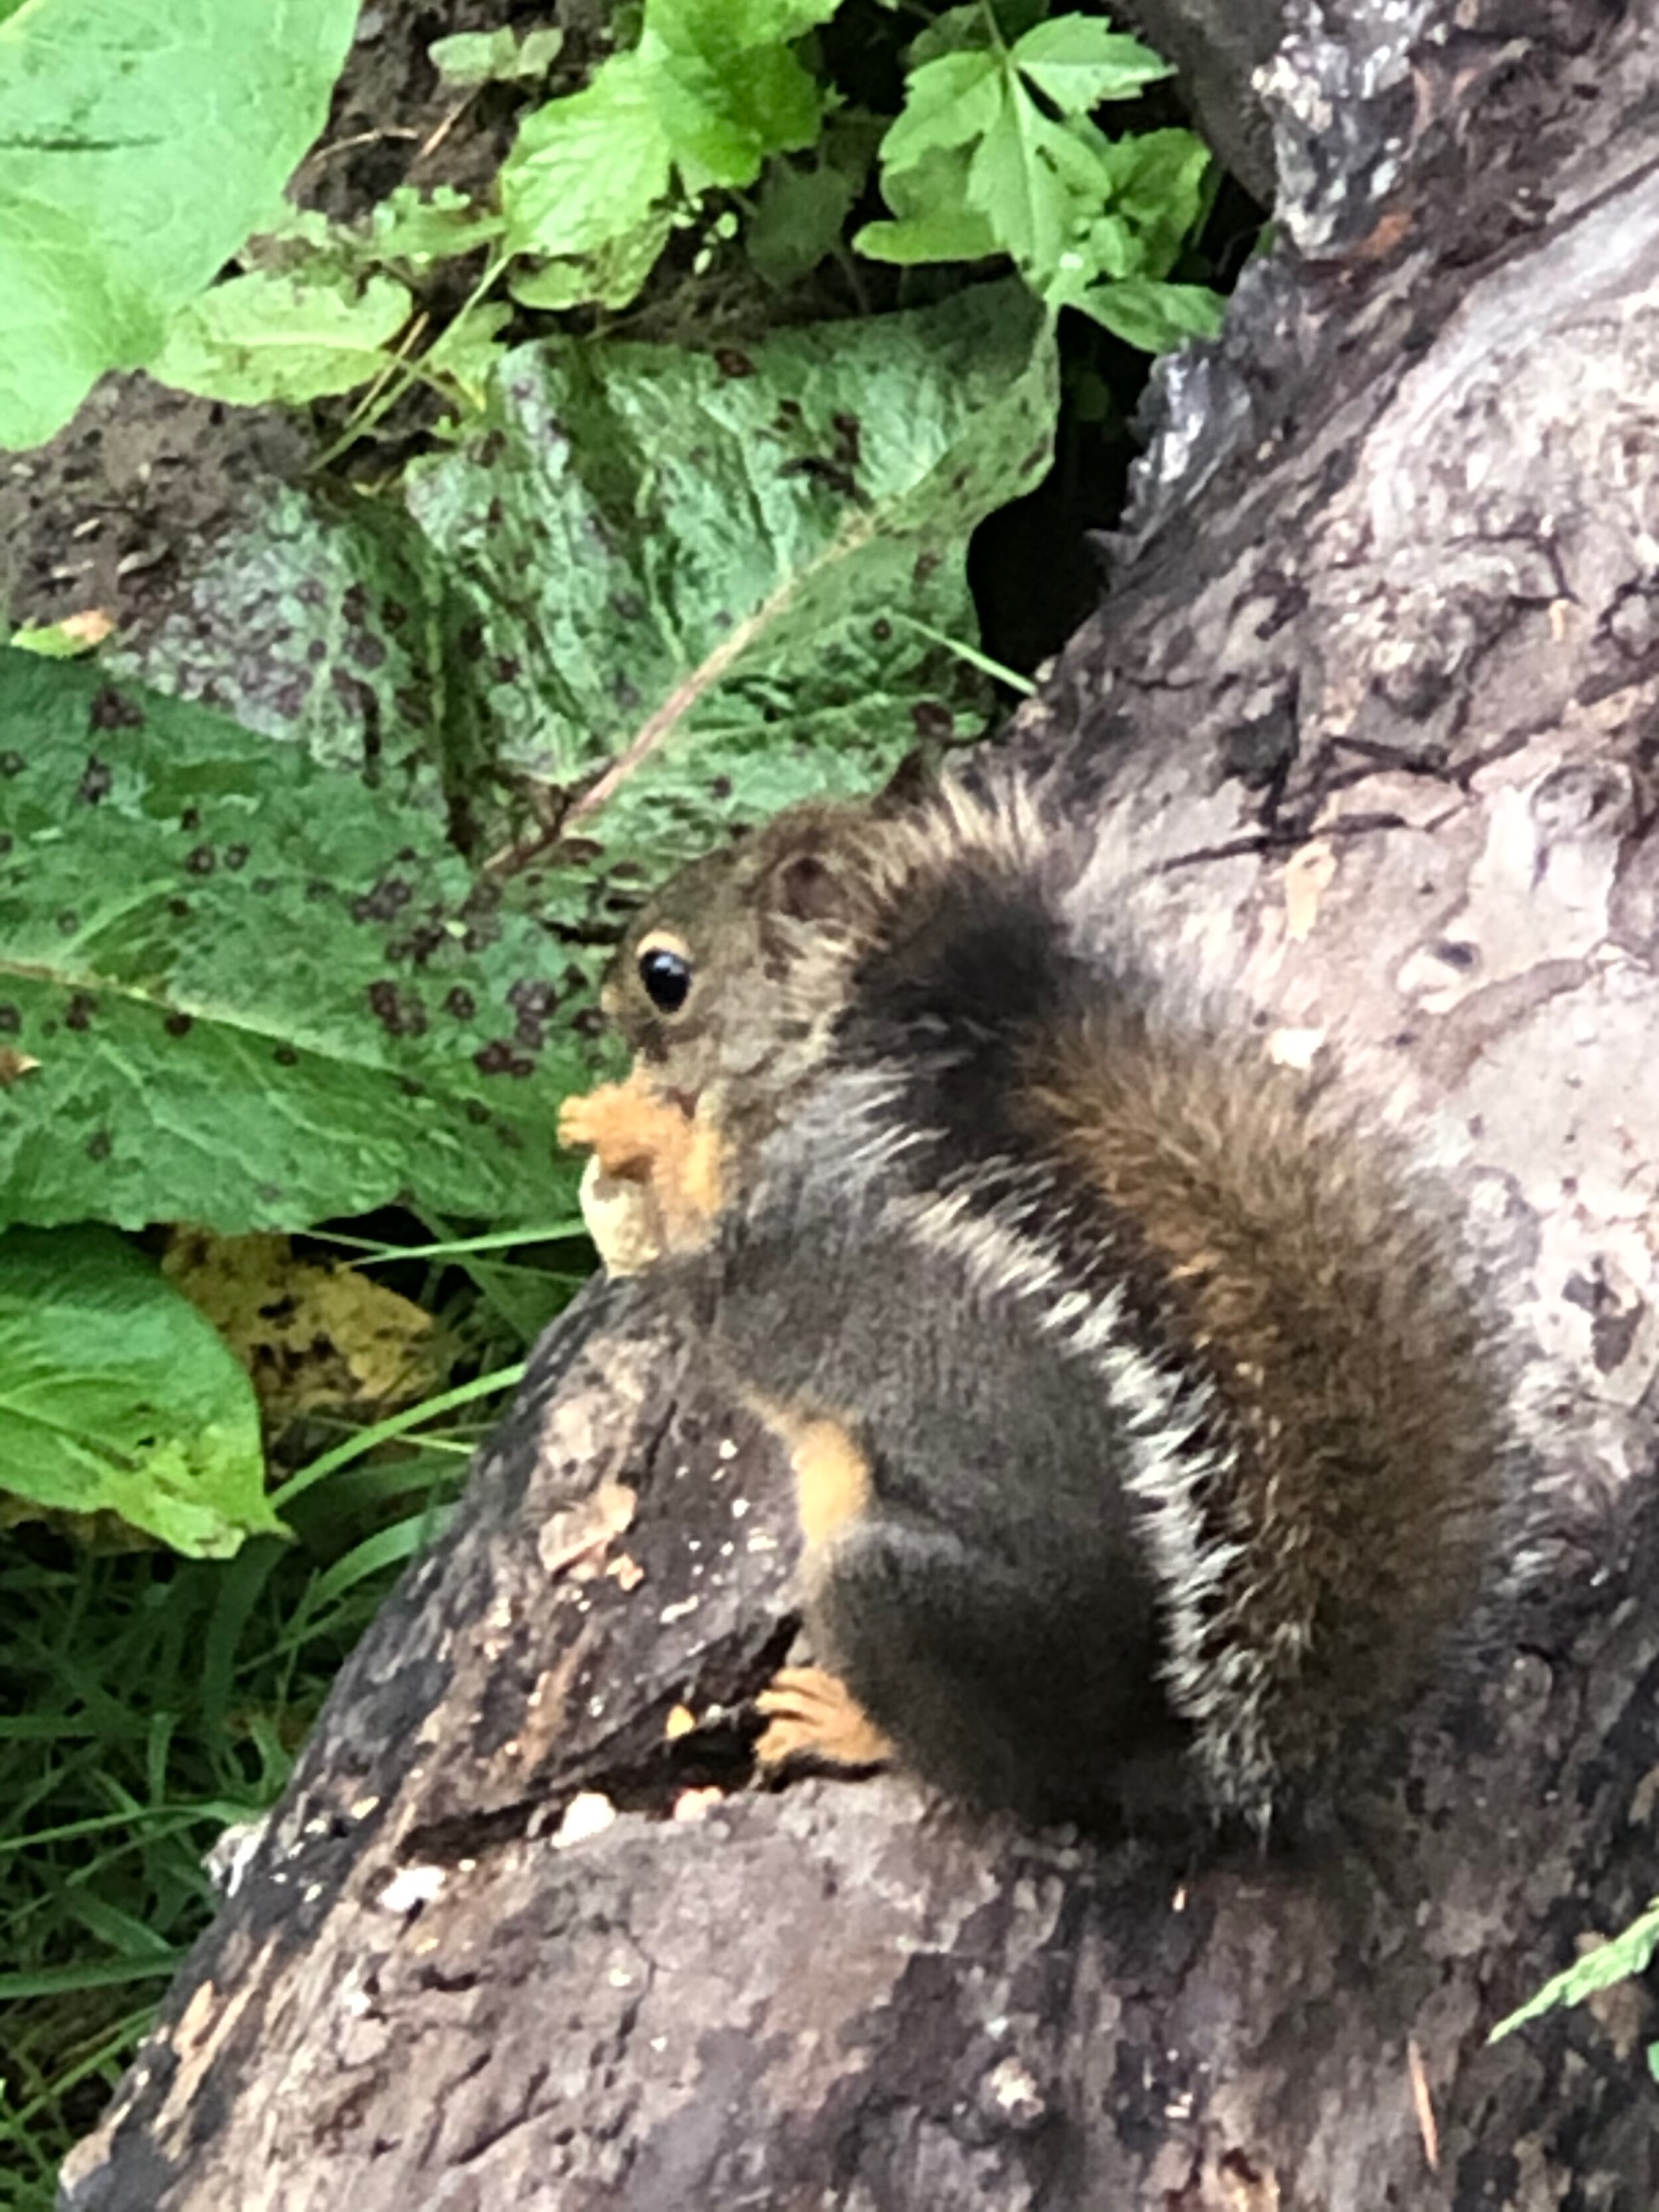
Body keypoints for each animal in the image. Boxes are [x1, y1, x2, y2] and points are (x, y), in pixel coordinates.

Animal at [558, 774, 1508, 1833]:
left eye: (666, 974)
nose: (603, 993)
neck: (804, 1076)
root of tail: (1148, 1762)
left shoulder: (791, 1238)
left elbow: (708, 1287)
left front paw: (632, 1126)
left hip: (892, 1593)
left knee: (988, 1776)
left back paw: (841, 1723)